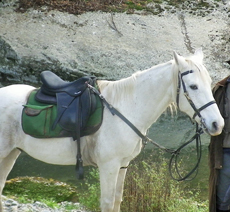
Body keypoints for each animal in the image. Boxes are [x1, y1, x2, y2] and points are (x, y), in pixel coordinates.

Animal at [0, 48, 223, 212]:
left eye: (210, 83)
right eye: (193, 86)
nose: (217, 124)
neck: (125, 108)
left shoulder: (122, 165)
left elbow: (117, 200)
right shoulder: (109, 166)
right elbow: (107, 203)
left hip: (11, 154)